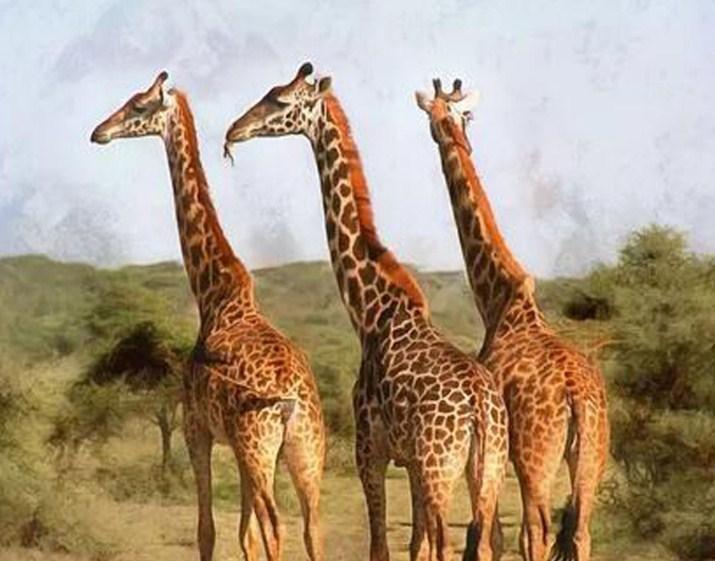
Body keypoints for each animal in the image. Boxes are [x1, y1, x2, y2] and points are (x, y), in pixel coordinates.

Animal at [90, 72, 326, 561]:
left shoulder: (196, 429)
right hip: (305, 450)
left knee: (276, 526)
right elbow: (243, 535)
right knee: (313, 527)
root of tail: (291, 401)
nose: (99, 132)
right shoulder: (232, 443)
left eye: (138, 106)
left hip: (259, 444)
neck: (214, 294)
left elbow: (209, 530)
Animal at [222, 62, 509, 561]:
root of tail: (479, 408)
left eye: (281, 100)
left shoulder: (368, 450)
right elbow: (413, 546)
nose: (235, 130)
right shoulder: (408, 461)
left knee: (447, 541)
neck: (372, 311)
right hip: (485, 470)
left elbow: (382, 544)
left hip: (440, 468)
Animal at [415, 79, 610, 561]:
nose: (445, 134)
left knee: (537, 530)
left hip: (535, 456)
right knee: (581, 531)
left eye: (439, 116)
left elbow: (493, 536)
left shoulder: (495, 454)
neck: (499, 301)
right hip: (593, 456)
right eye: (452, 116)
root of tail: (578, 396)